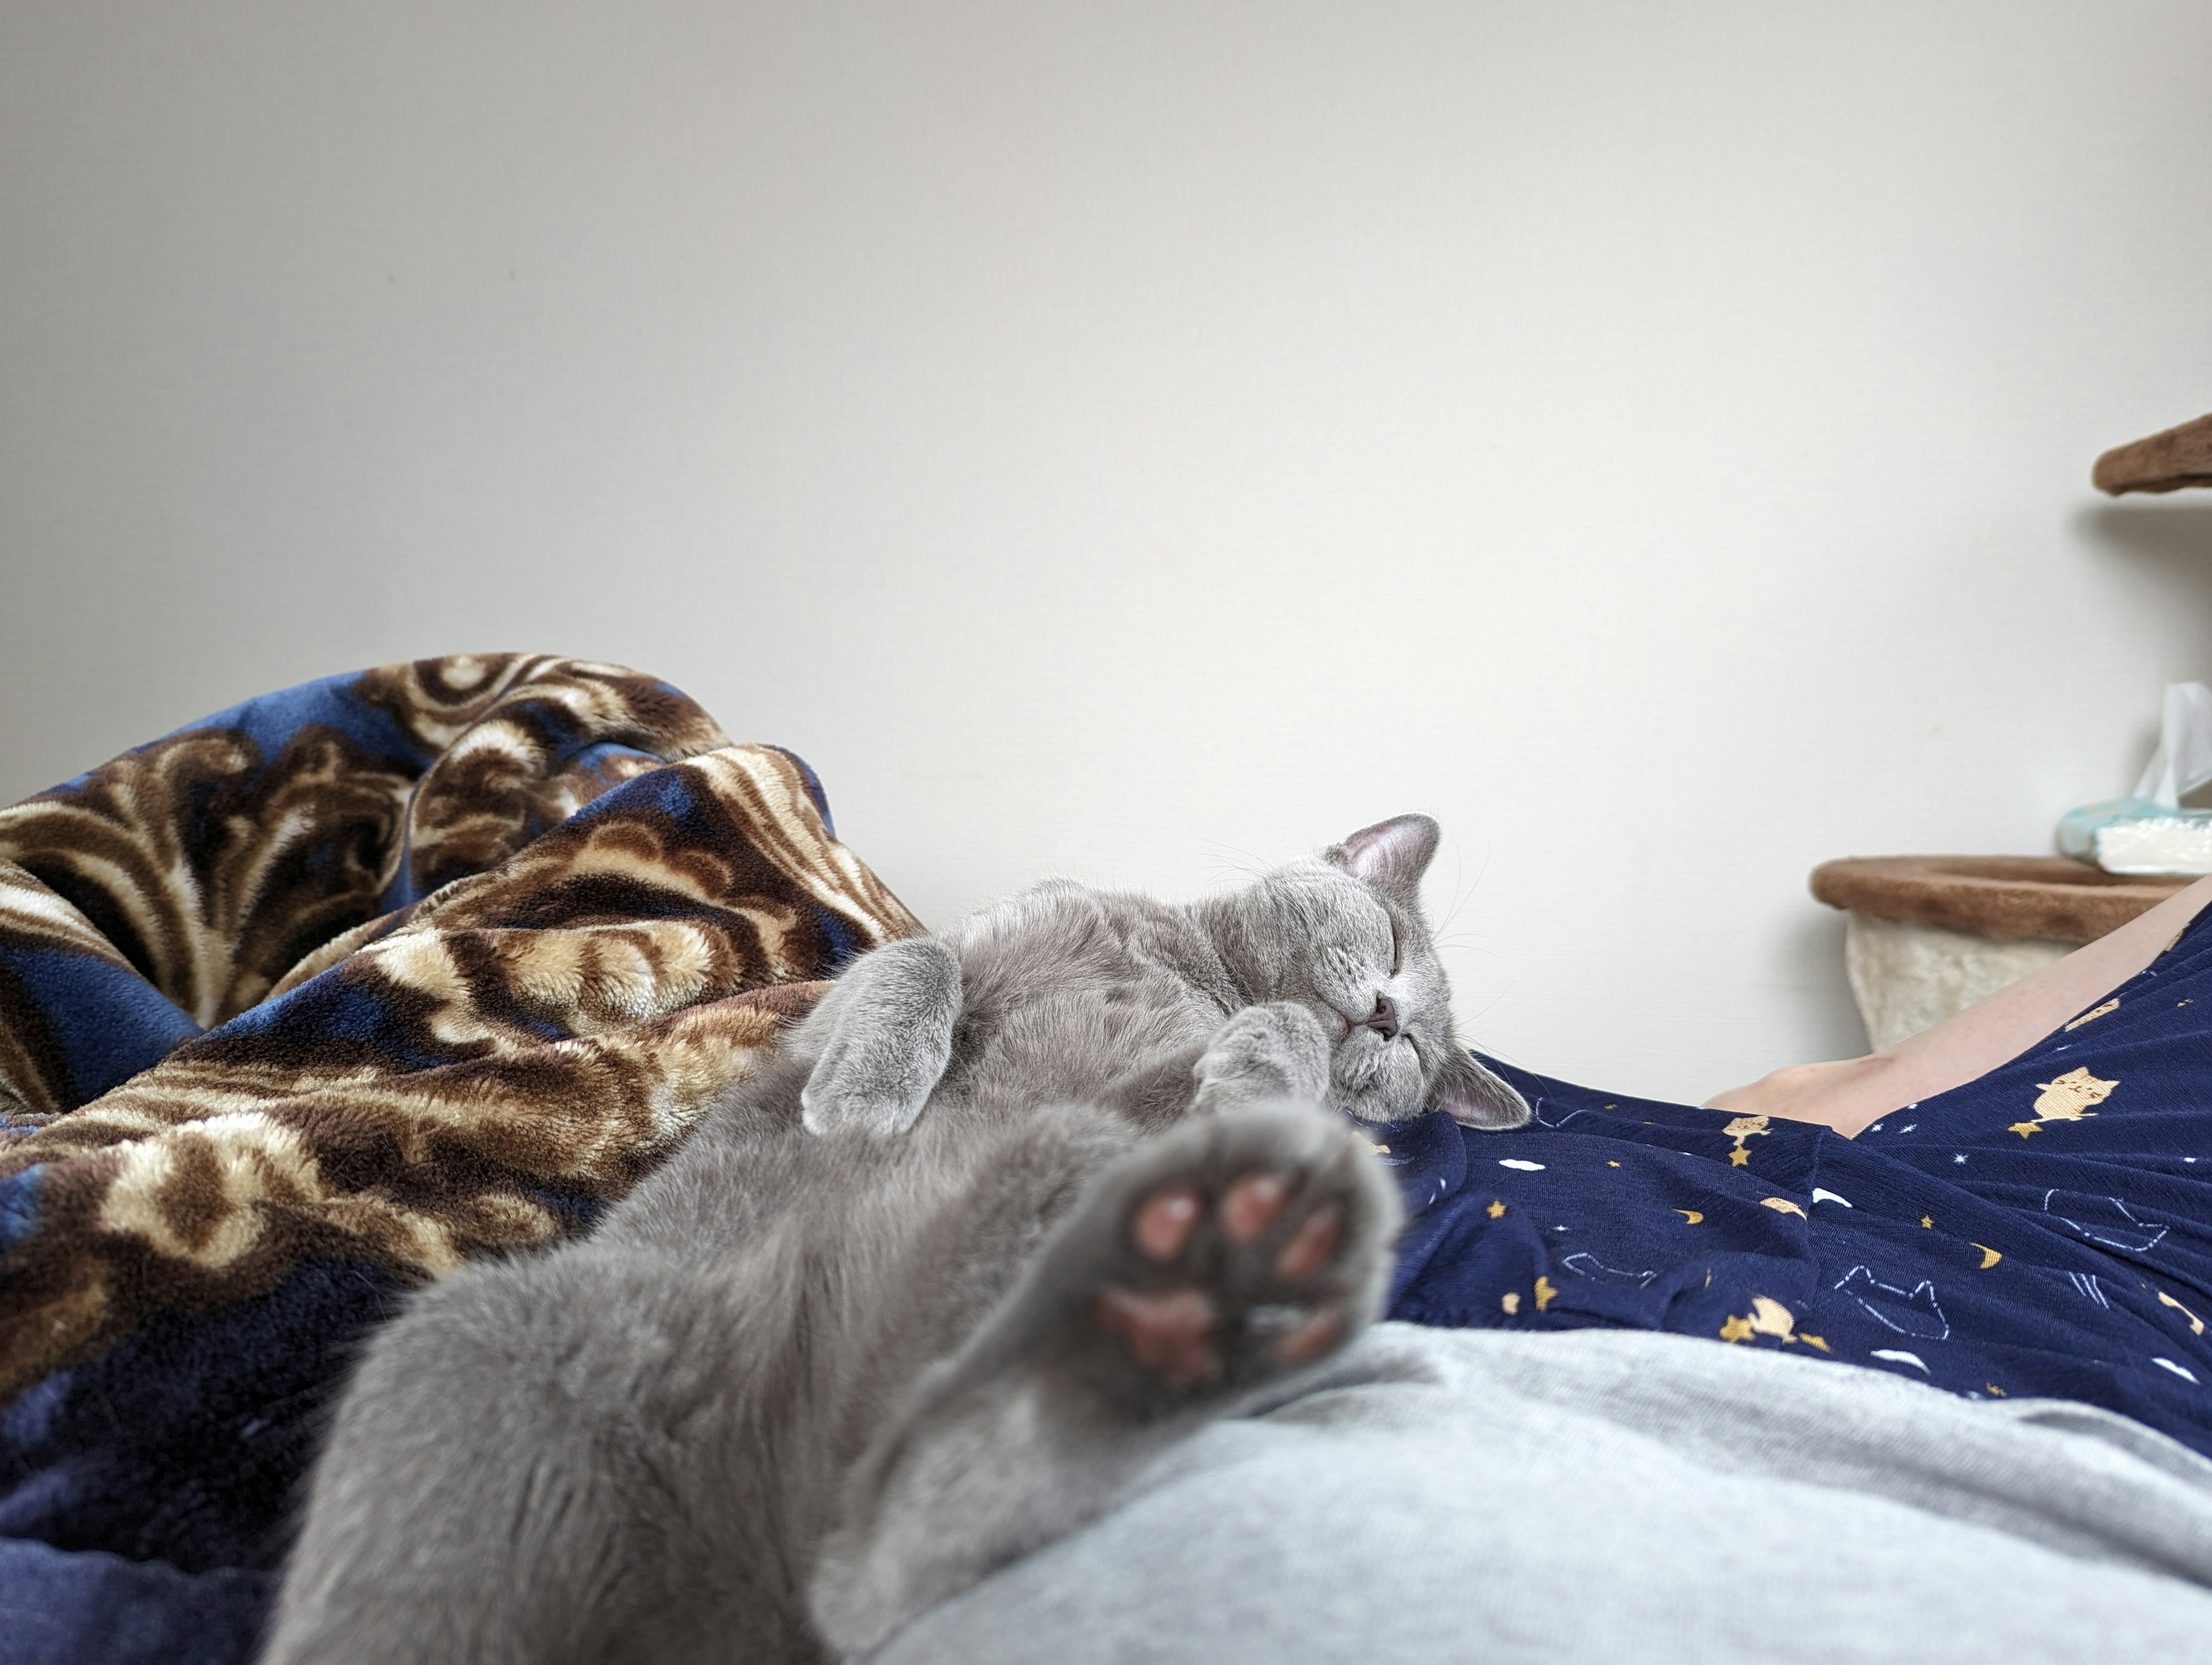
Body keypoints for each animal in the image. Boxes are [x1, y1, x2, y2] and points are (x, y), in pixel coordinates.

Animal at [259, 813, 1531, 1663]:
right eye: (1391, 942)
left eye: (1420, 1050)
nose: (1388, 1018)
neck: (1193, 965)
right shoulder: (891, 971)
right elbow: (915, 959)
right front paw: (867, 1099)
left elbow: (1273, 1058)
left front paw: (1262, 1075)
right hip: (473, 1345)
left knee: (876, 1566)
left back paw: (1191, 1290)